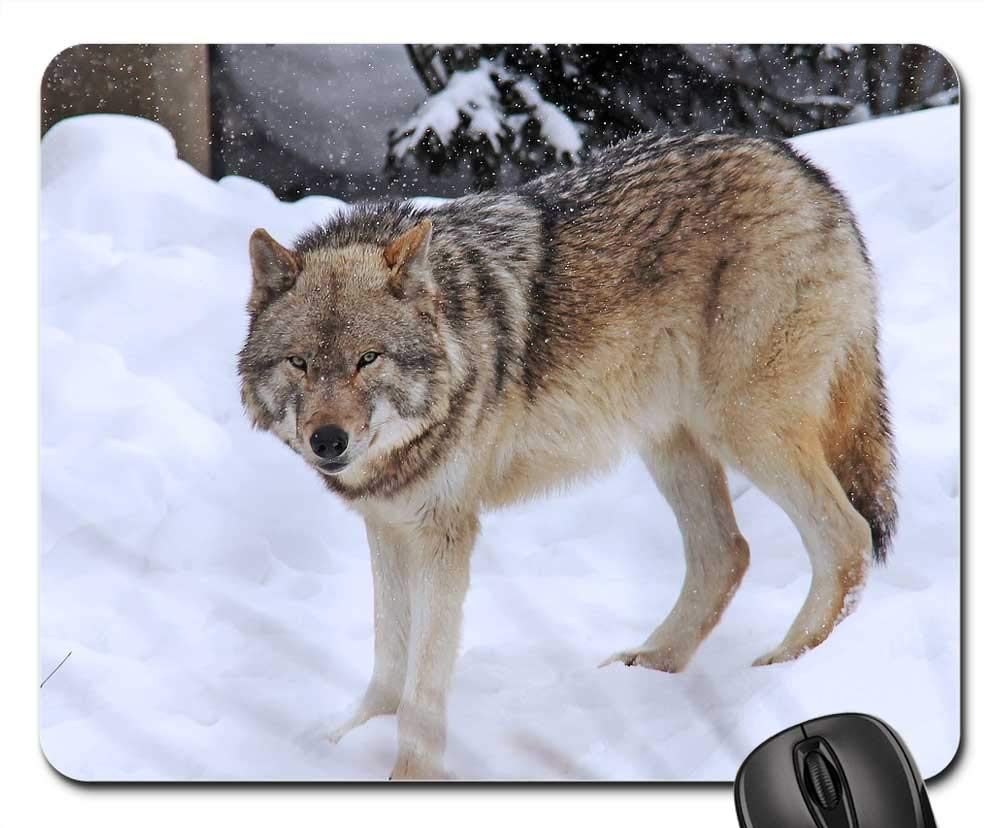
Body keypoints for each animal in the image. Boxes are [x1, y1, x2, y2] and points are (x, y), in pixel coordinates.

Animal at [237, 130, 896, 780]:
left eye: (367, 359)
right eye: (300, 362)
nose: (328, 441)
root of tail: (805, 171)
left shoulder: (443, 532)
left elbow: (423, 679)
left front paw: (410, 774)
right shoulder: (388, 525)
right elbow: (388, 656)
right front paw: (352, 740)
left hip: (744, 429)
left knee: (847, 537)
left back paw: (787, 666)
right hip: (671, 441)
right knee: (726, 554)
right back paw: (651, 663)